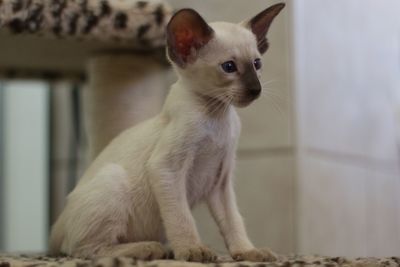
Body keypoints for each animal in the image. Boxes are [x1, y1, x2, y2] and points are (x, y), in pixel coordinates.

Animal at [49, 3, 284, 264]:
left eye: (257, 64)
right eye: (229, 67)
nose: (256, 89)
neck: (216, 115)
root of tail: (55, 226)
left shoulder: (220, 182)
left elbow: (233, 222)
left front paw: (248, 253)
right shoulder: (166, 169)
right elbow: (182, 218)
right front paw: (193, 251)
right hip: (113, 180)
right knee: (83, 249)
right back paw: (149, 249)